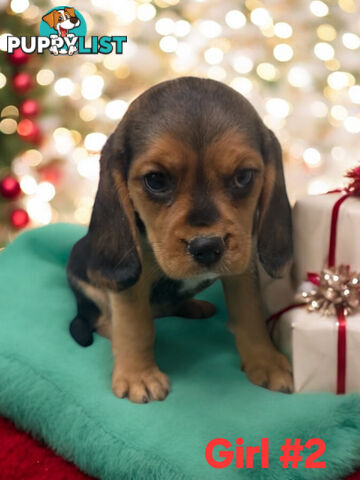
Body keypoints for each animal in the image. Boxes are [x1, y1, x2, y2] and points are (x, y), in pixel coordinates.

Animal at [67, 77, 292, 404]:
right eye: (156, 180)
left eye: (243, 177)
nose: (207, 247)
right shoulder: (130, 286)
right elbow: (135, 328)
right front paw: (139, 376)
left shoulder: (243, 264)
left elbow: (250, 314)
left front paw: (266, 360)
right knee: (103, 319)